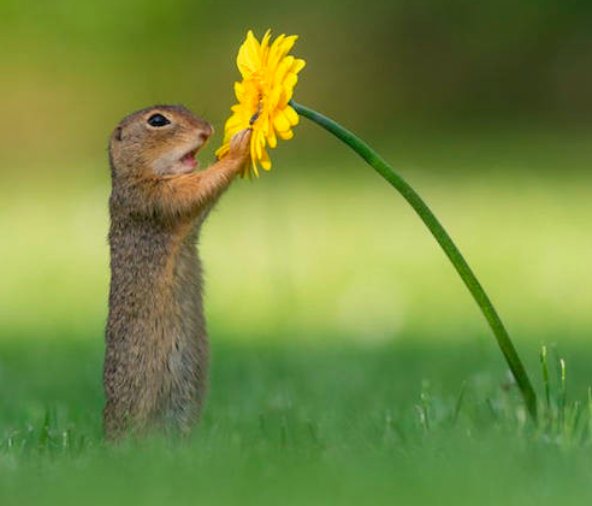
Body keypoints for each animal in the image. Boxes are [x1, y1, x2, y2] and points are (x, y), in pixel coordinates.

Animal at [103, 105, 250, 436]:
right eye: (157, 120)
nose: (207, 130)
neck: (136, 175)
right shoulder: (154, 198)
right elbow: (197, 188)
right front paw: (239, 146)